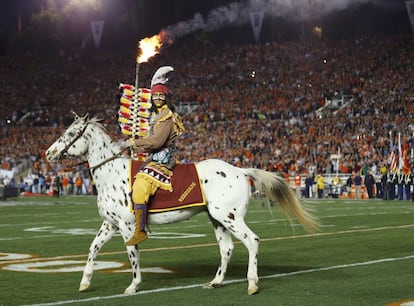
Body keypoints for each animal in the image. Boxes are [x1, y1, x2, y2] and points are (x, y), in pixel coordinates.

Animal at [45, 113, 318, 296]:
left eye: (70, 134)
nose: (48, 154)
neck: (111, 173)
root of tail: (240, 171)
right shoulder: (109, 224)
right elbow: (93, 248)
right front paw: (85, 282)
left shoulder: (126, 225)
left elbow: (132, 253)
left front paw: (133, 285)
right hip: (217, 219)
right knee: (226, 249)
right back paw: (216, 282)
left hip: (230, 217)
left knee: (252, 241)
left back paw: (252, 283)